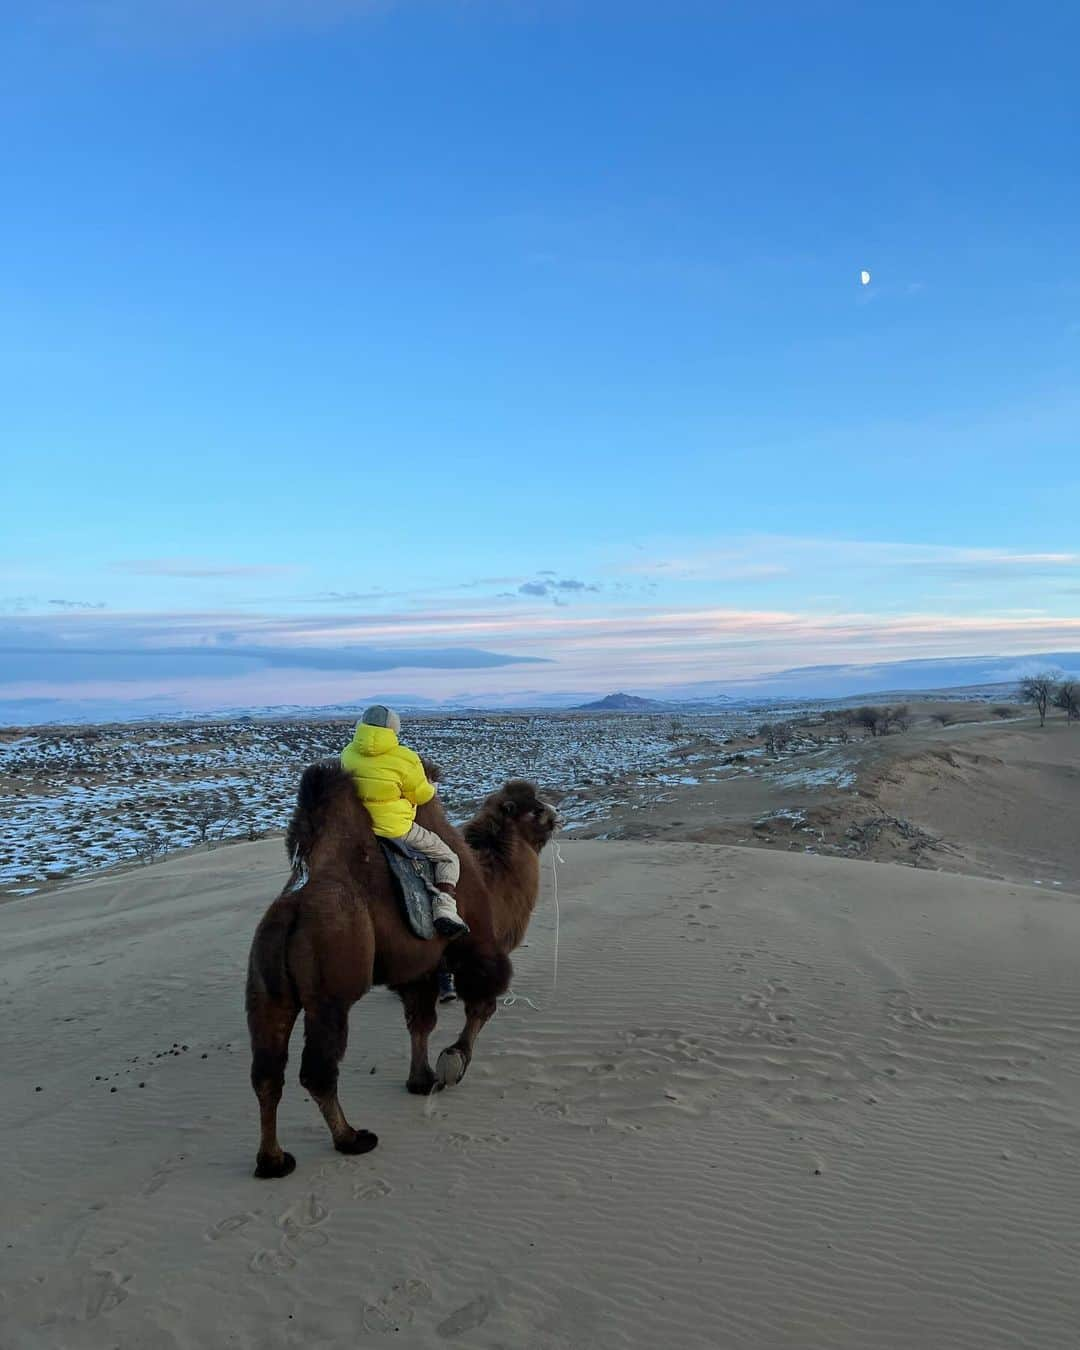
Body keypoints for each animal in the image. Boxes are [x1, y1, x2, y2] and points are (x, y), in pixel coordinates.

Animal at [244, 761, 556, 1182]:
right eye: (535, 809)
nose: (556, 813)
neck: (493, 886)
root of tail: (288, 913)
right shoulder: (477, 947)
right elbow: (482, 1005)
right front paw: (453, 1063)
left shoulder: (419, 970)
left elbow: (420, 1023)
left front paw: (421, 1080)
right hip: (330, 990)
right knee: (317, 1070)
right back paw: (351, 1138)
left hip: (266, 990)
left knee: (266, 1072)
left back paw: (273, 1160)